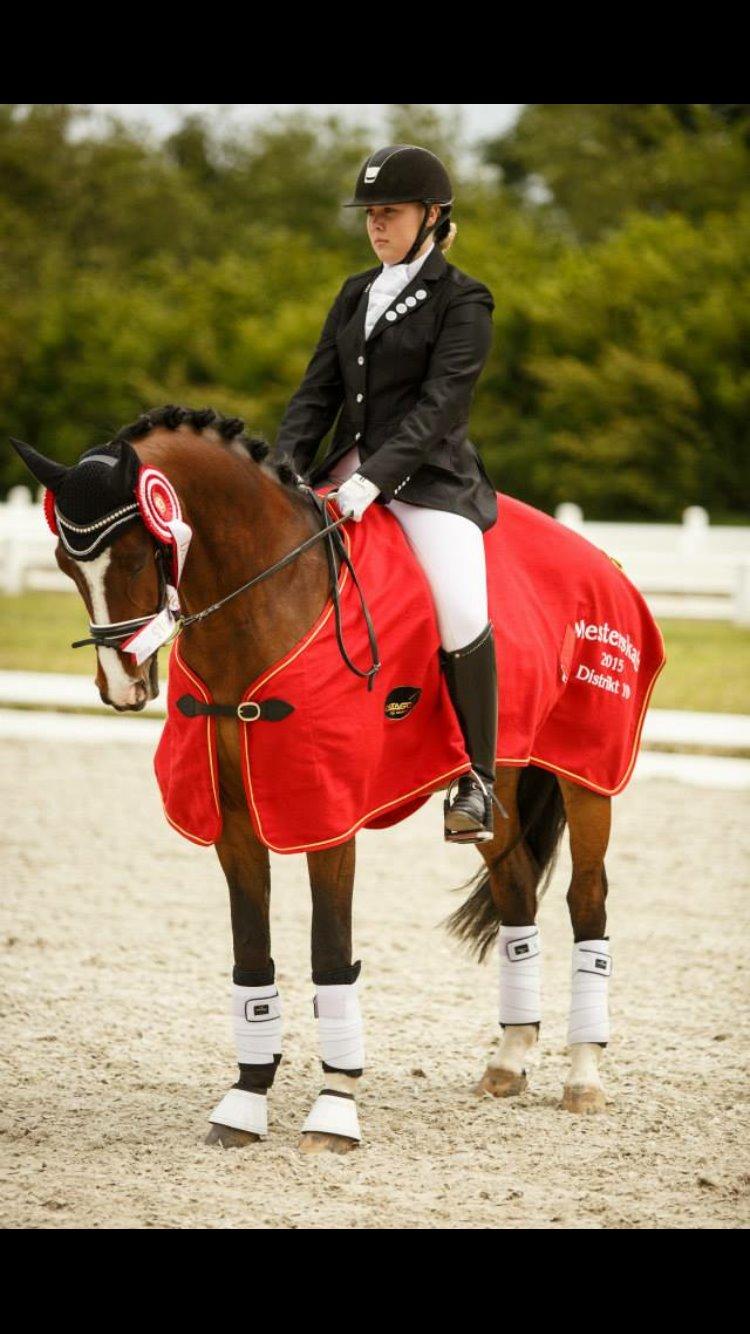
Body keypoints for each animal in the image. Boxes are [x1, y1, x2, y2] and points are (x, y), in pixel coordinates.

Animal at [11, 405, 620, 1154]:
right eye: (66, 564)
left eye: (133, 555)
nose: (123, 687)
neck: (267, 604)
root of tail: (601, 558)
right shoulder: (233, 819)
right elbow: (251, 955)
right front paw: (244, 1103)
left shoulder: (327, 816)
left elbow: (330, 953)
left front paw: (334, 1109)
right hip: (499, 786)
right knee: (516, 893)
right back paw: (507, 1062)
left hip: (589, 776)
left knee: (587, 901)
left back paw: (584, 1075)